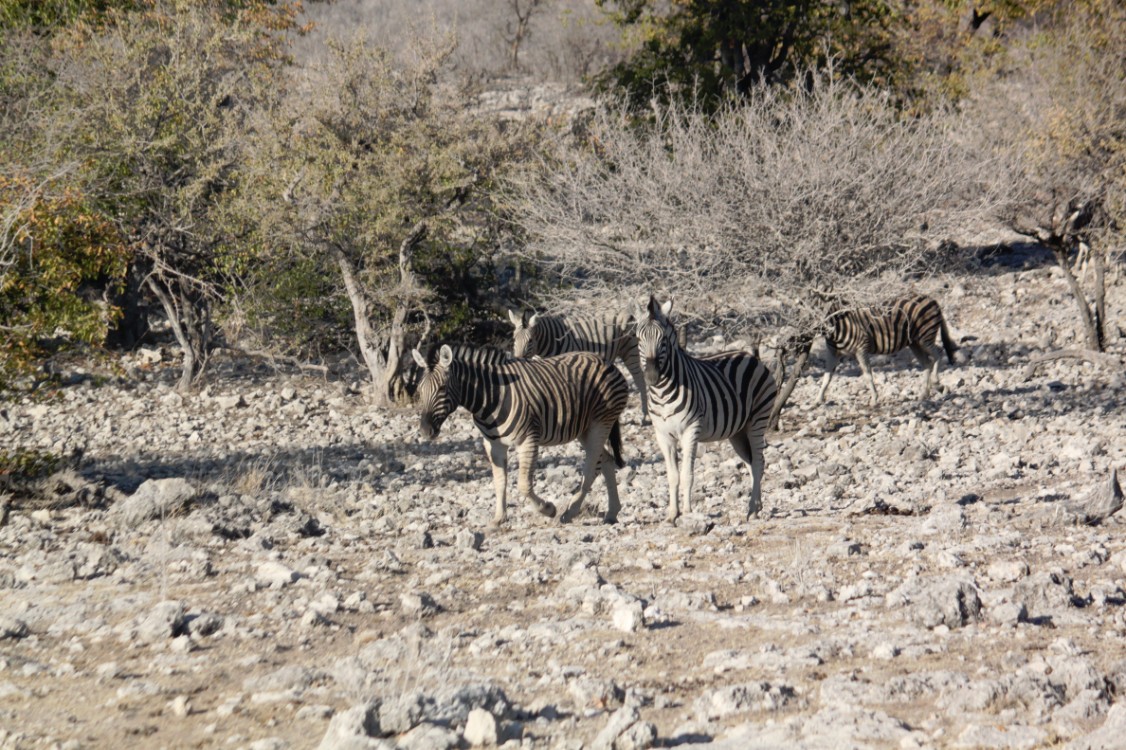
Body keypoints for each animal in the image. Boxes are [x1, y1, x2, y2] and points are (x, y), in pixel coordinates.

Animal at [414, 342, 630, 522]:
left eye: (442, 388)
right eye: (419, 391)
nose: (425, 431)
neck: (490, 398)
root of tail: (606, 362)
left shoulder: (528, 439)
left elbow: (524, 485)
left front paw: (547, 509)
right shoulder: (493, 444)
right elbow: (500, 481)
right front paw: (498, 519)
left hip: (600, 422)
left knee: (591, 467)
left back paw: (570, 511)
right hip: (584, 429)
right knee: (607, 460)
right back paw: (612, 513)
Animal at [511, 306, 653, 421]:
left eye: (530, 340)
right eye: (514, 339)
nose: (518, 360)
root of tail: (626, 311)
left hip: (630, 351)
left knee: (639, 379)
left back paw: (645, 415)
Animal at [639, 292, 779, 520]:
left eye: (664, 340)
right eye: (639, 339)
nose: (651, 377)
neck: (662, 393)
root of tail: (750, 356)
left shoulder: (691, 429)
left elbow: (687, 474)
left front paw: (687, 512)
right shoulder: (662, 435)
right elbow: (672, 476)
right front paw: (672, 514)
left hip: (758, 419)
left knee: (759, 461)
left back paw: (752, 509)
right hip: (738, 432)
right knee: (751, 462)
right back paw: (756, 506)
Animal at [819, 292, 959, 409]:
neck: (837, 325)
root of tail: (932, 299)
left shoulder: (861, 348)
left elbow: (867, 375)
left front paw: (874, 399)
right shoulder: (832, 353)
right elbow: (827, 377)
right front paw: (818, 400)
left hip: (925, 336)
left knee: (938, 353)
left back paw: (936, 383)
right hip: (915, 343)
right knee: (927, 363)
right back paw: (924, 394)